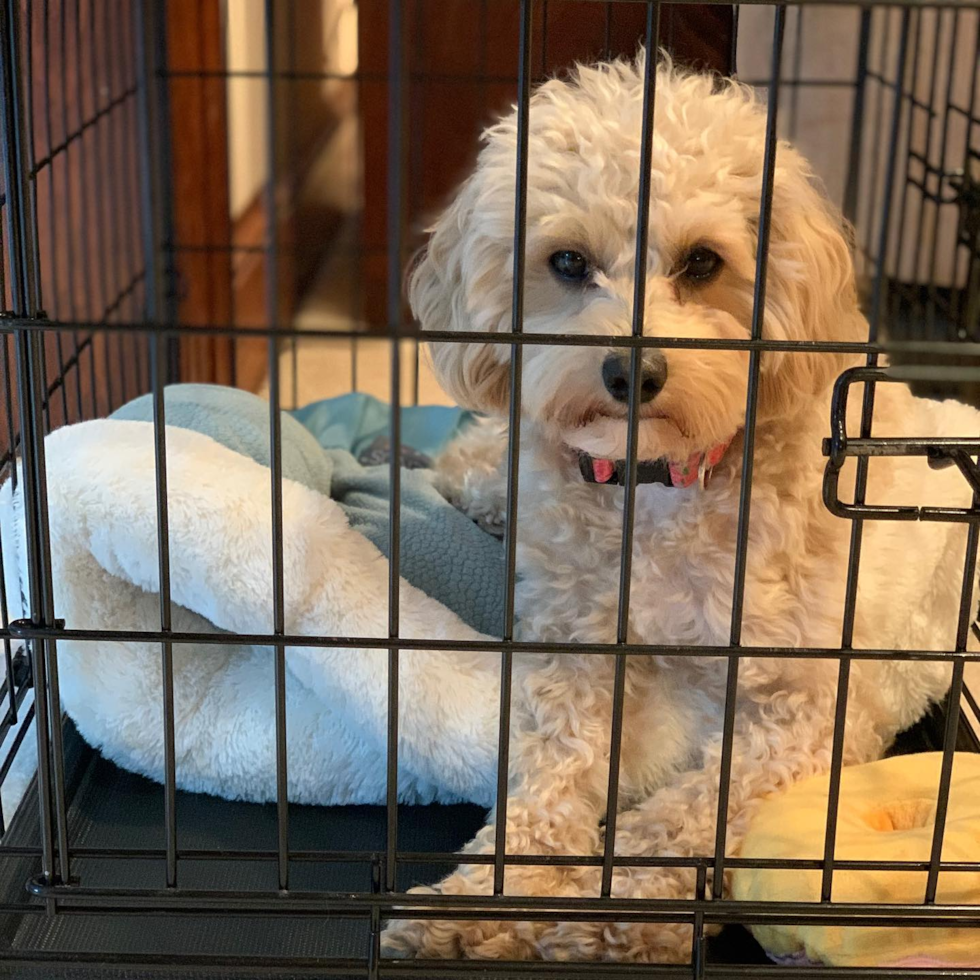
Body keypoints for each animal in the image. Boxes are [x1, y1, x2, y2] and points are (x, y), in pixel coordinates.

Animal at [380, 53, 972, 964]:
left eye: (702, 263)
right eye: (568, 262)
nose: (633, 373)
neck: (659, 488)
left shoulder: (804, 713)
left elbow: (688, 814)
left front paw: (617, 915)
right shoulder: (576, 659)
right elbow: (546, 783)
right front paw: (477, 904)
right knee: (467, 468)